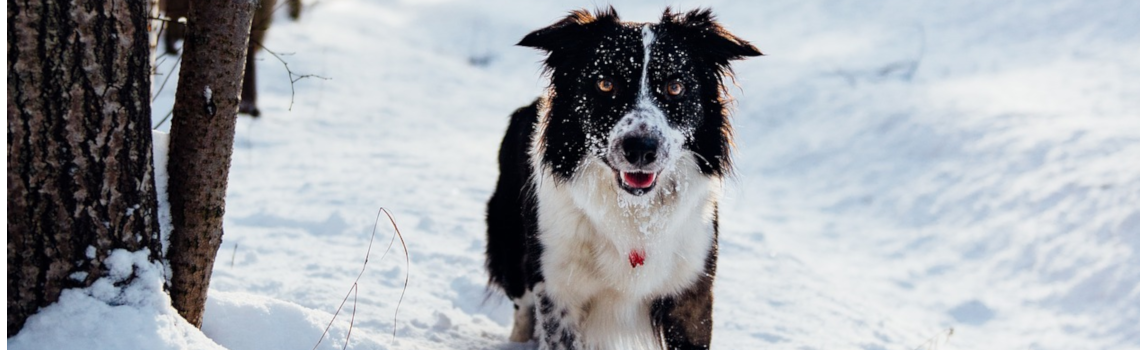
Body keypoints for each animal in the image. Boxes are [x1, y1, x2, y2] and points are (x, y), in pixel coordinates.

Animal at [485, 6, 761, 348]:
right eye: (605, 84)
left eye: (675, 87)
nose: (641, 149)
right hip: (512, 248)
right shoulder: (557, 287)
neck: (633, 213)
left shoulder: (690, 291)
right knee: (521, 308)